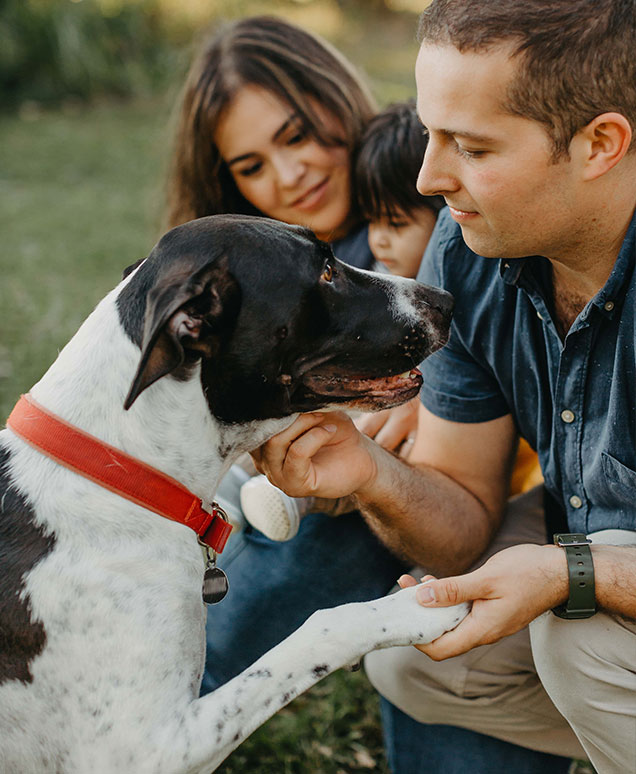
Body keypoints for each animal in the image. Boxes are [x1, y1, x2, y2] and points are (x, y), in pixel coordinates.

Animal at [0, 214, 468, 774]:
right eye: (326, 271)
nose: (446, 299)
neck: (119, 472)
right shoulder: (145, 751)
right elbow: (321, 628)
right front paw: (414, 608)